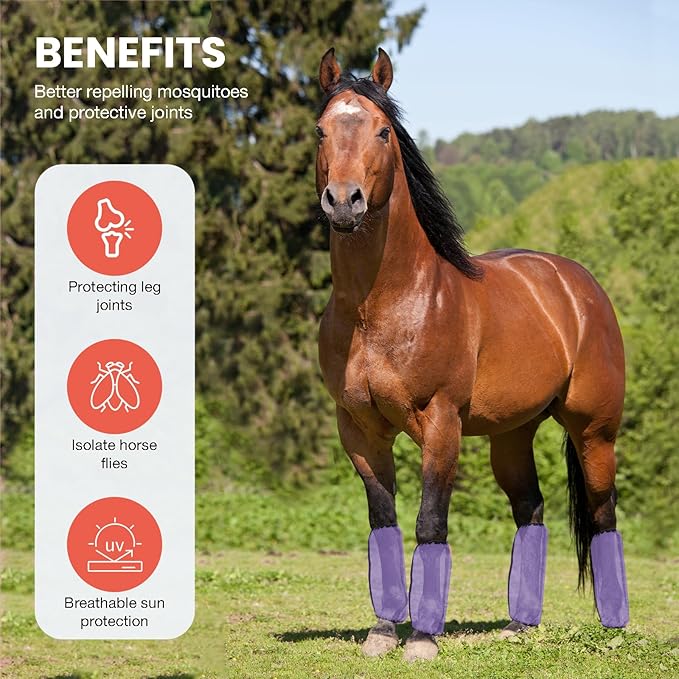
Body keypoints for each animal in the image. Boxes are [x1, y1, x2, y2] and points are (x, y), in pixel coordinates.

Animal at [315, 48, 629, 661]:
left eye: (383, 131)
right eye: (319, 131)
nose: (344, 202)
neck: (381, 307)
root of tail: (577, 284)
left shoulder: (441, 424)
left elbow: (429, 523)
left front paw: (422, 640)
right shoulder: (359, 430)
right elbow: (383, 523)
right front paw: (383, 632)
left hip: (594, 431)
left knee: (603, 514)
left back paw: (613, 629)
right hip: (512, 435)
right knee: (530, 510)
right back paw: (520, 625)